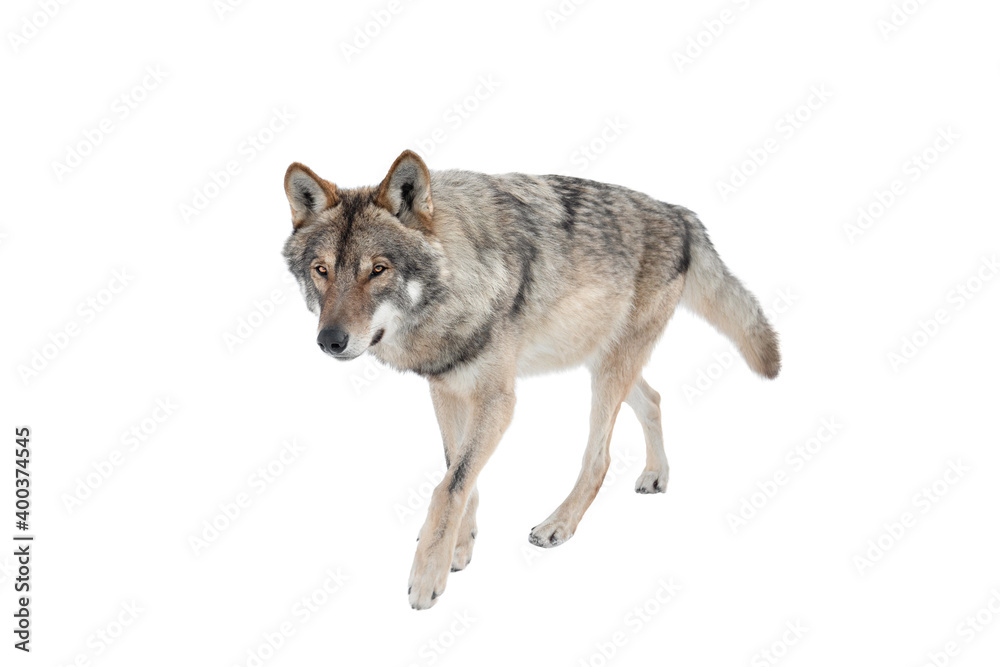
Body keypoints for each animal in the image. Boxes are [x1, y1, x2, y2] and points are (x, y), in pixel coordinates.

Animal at [281, 150, 780, 609]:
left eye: (378, 269)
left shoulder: (497, 399)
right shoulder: (447, 389)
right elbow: (458, 472)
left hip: (608, 371)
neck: (462, 279)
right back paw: (657, 475)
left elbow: (449, 486)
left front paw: (426, 577)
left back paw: (558, 525)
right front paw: (459, 548)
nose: (330, 340)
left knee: (599, 458)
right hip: (604, 360)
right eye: (322, 270)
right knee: (654, 399)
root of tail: (681, 214)